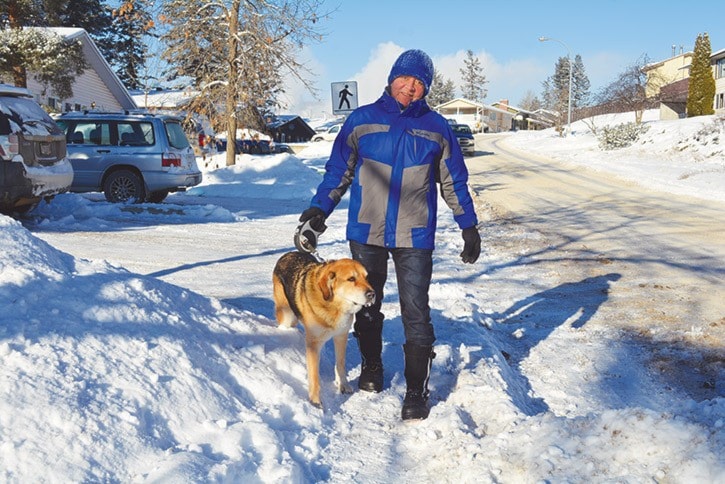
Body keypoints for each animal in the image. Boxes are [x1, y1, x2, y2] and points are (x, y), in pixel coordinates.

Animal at [270, 251, 374, 406]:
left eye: (366, 277)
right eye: (351, 279)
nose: (372, 294)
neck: (333, 305)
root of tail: (287, 254)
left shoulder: (341, 336)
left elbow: (340, 364)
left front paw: (343, 385)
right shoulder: (313, 344)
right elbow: (314, 377)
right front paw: (315, 402)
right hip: (287, 315)